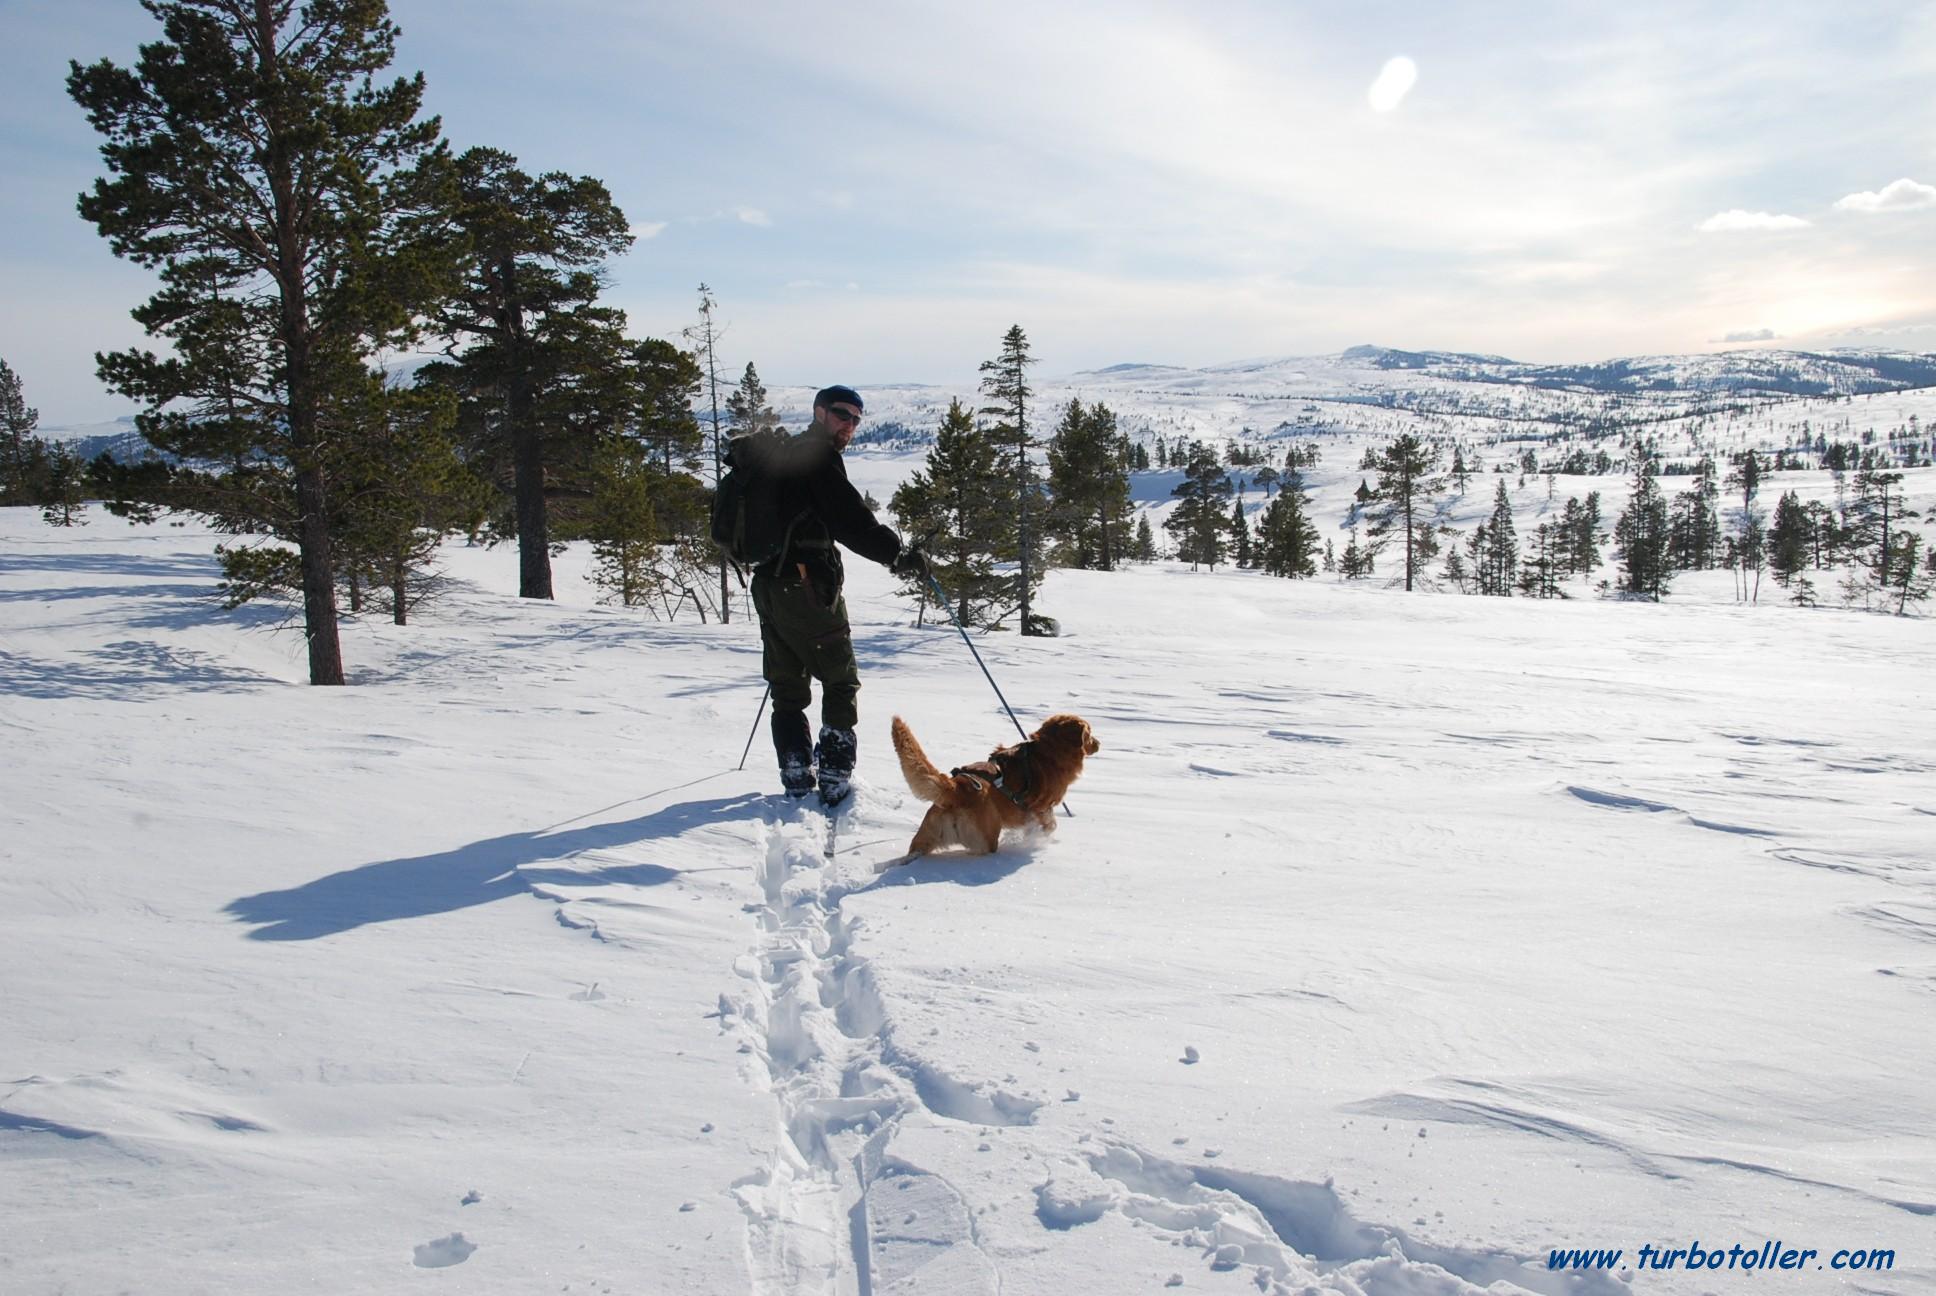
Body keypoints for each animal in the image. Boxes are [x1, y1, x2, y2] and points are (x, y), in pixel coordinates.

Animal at [886, 709, 1099, 860]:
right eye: (1089, 733)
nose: (1099, 743)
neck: (1049, 750)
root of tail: (957, 786)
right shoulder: (1042, 809)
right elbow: (1050, 825)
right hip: (987, 838)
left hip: (925, 836)